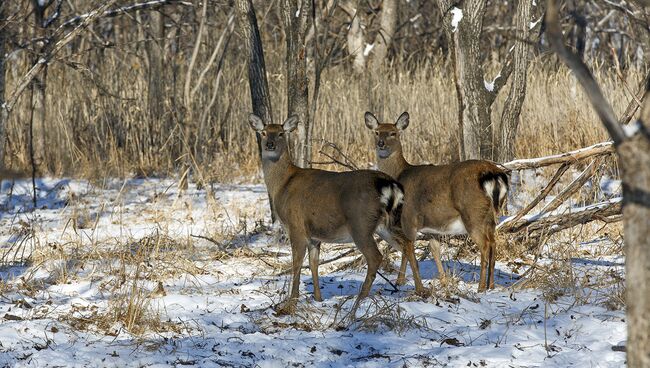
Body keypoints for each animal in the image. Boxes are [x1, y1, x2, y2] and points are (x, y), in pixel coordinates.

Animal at [248, 113, 426, 314]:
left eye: (280, 133)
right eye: (263, 132)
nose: (270, 144)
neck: (282, 185)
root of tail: (389, 184)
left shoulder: (296, 226)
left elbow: (296, 264)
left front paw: (290, 303)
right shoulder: (314, 236)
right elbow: (314, 264)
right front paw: (318, 299)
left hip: (360, 223)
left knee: (376, 256)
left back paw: (359, 300)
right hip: (387, 223)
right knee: (407, 244)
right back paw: (420, 291)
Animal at [362, 110, 508, 292]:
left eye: (392, 133)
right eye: (376, 132)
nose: (381, 144)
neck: (400, 174)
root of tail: (492, 174)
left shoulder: (408, 218)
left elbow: (407, 250)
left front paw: (401, 282)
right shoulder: (432, 228)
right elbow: (434, 250)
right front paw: (443, 281)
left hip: (472, 213)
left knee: (485, 245)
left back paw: (481, 287)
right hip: (490, 216)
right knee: (494, 243)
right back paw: (491, 285)